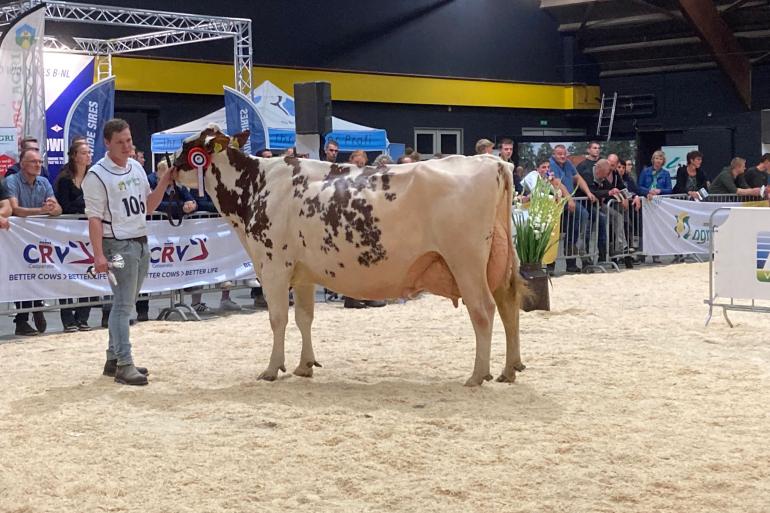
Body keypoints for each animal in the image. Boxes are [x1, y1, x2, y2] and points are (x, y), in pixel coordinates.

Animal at [172, 128, 524, 384]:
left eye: (188, 147)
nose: (168, 163)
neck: (256, 186)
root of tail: (493, 163)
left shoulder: (273, 265)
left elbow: (278, 318)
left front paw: (272, 369)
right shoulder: (303, 272)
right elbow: (304, 317)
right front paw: (304, 365)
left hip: (465, 261)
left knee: (483, 310)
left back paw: (478, 375)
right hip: (499, 261)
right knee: (509, 305)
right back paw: (509, 370)